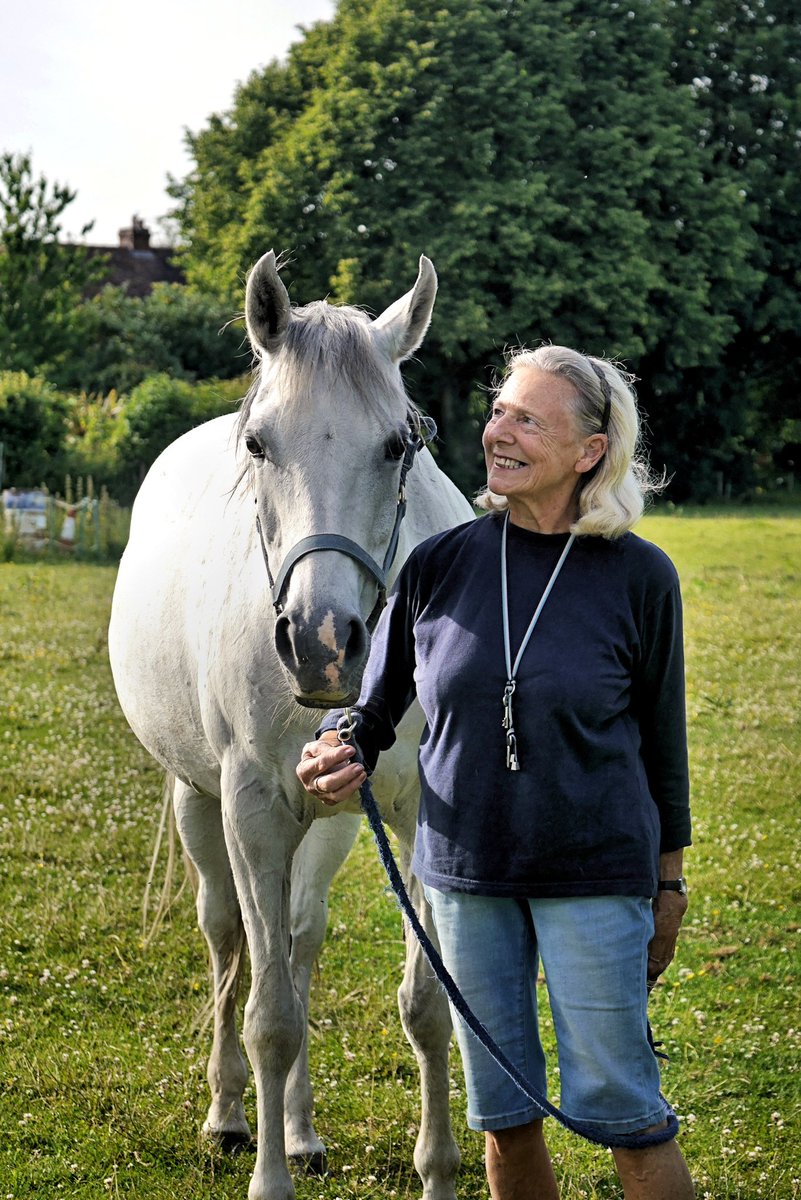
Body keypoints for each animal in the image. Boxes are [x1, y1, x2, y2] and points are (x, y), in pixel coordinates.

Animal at [105, 253, 470, 1200]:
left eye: (397, 444)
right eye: (260, 444)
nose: (321, 643)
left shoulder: (414, 817)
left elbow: (426, 1007)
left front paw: (436, 1170)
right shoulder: (255, 812)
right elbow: (268, 1015)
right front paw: (267, 1176)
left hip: (335, 824)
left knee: (300, 942)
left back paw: (300, 1131)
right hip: (199, 804)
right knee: (230, 941)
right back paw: (233, 1118)